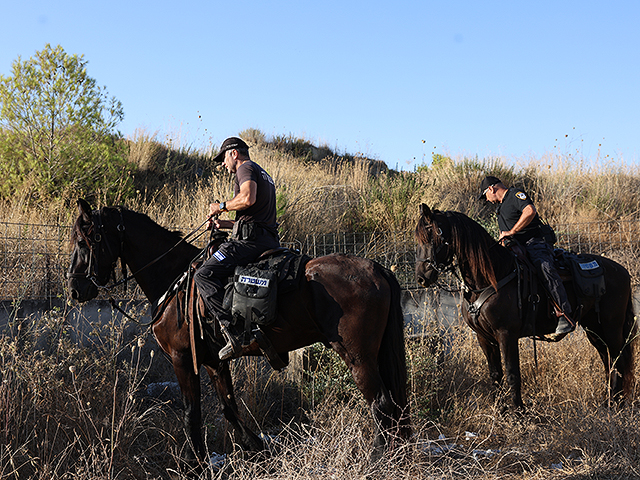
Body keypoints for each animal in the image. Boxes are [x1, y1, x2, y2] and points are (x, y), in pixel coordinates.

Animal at [69, 198, 410, 462]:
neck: (174, 279)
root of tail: (376, 268)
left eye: (84, 242)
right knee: (394, 404)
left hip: (358, 357)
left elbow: (191, 411)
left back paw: (378, 457)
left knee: (382, 404)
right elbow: (229, 408)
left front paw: (194, 461)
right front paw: (257, 447)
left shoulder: (182, 359)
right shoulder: (213, 362)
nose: (75, 288)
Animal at [416, 202, 636, 408]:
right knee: (607, 359)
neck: (492, 276)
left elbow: (512, 373)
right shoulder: (484, 337)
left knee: (618, 359)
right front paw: (500, 410)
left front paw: (518, 411)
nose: (421, 278)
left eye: (432, 235)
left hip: (611, 326)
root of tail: (623, 271)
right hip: (593, 328)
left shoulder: (506, 334)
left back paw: (616, 402)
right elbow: (495, 374)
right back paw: (609, 399)